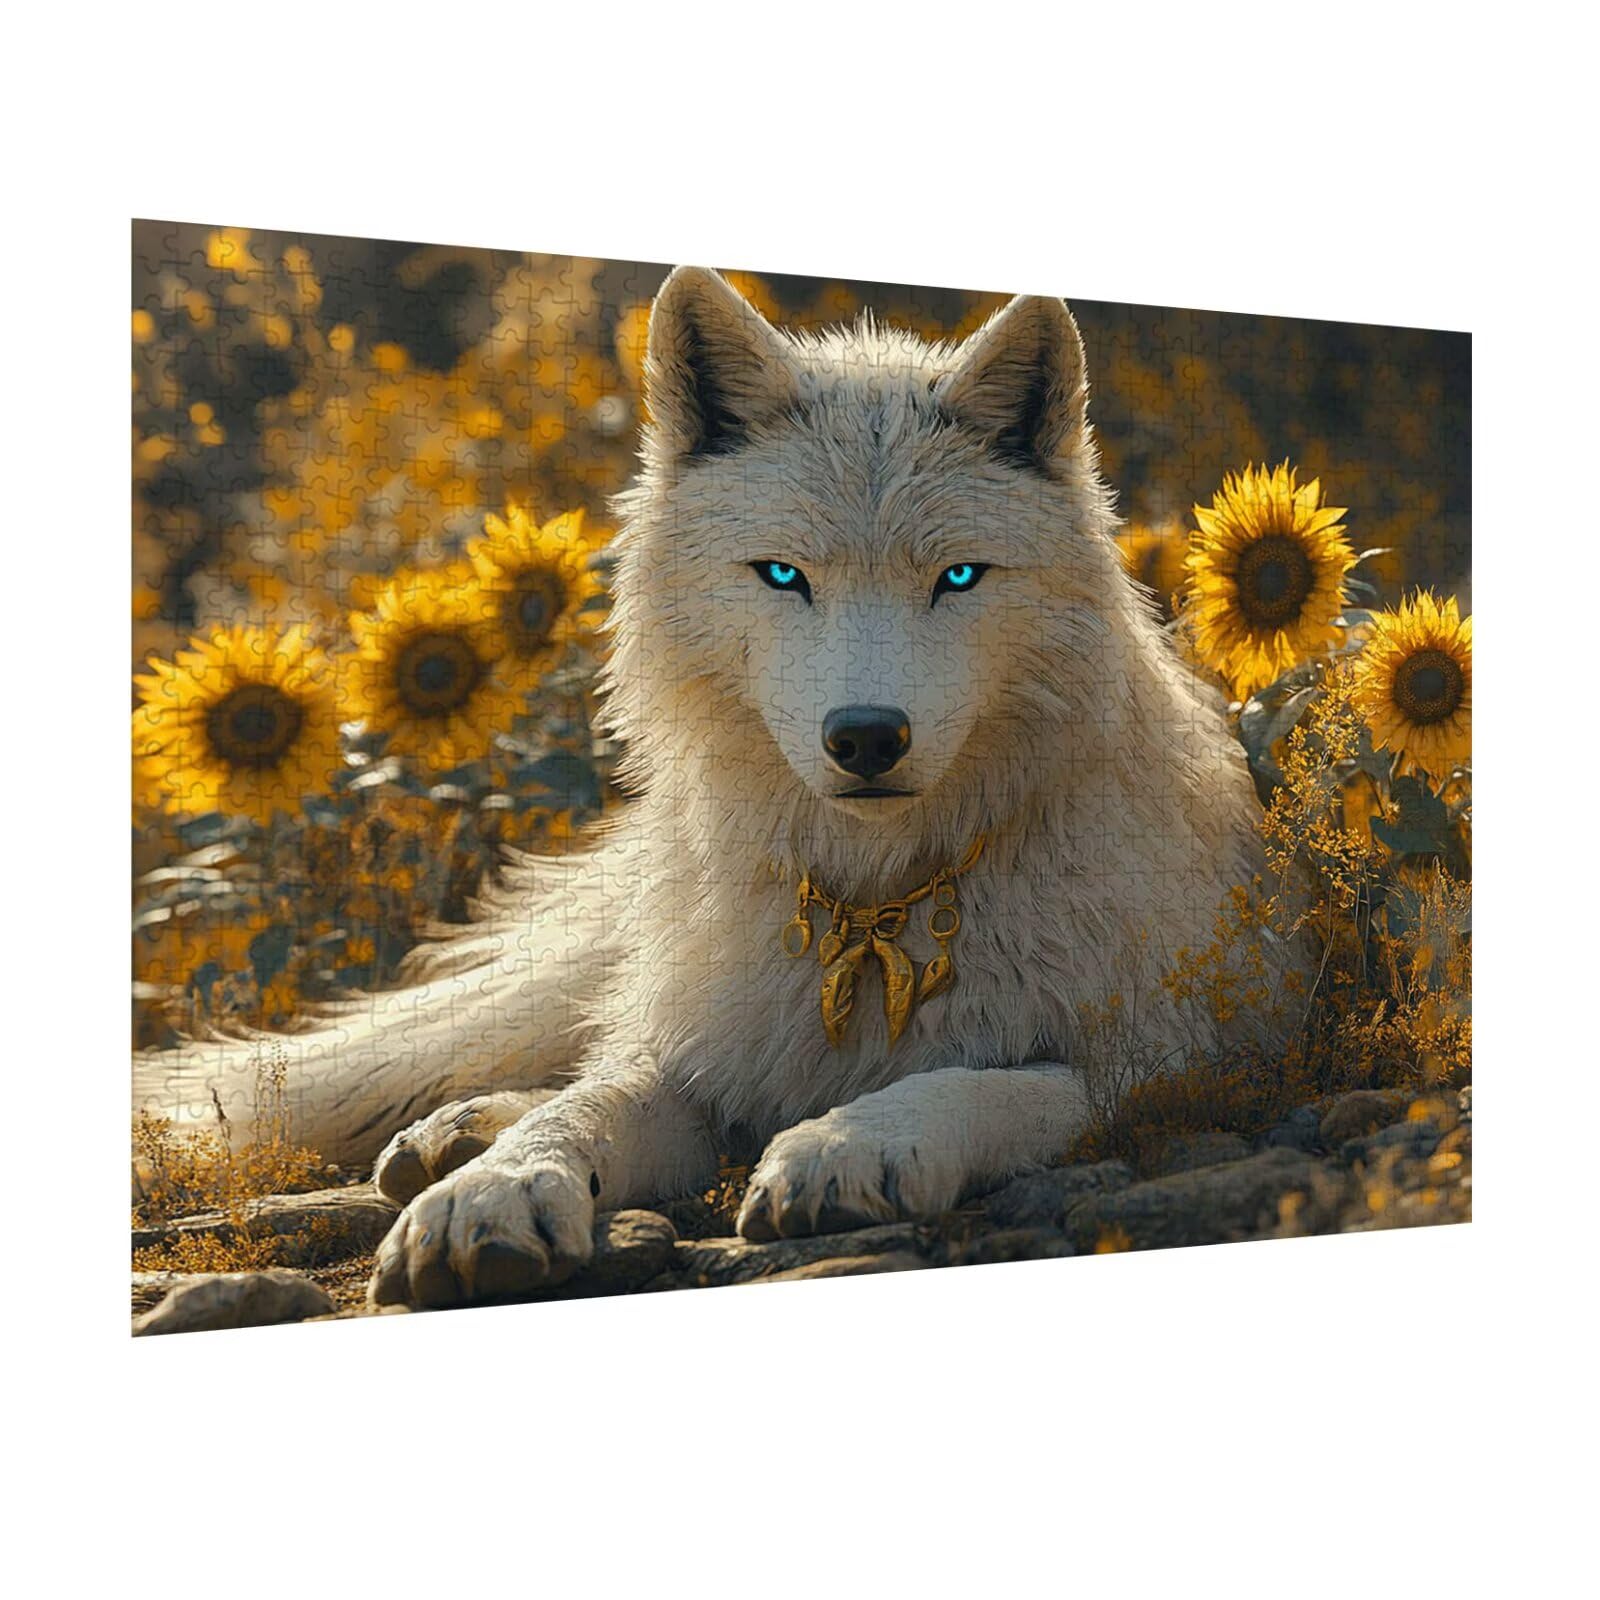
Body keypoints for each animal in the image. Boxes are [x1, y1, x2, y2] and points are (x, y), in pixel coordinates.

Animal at [133, 267, 1282, 1309]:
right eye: (783, 575)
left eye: (957, 578)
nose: (867, 738)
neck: (871, 906)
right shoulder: (691, 1068)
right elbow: (584, 1108)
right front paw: (491, 1194)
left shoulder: (1167, 1064)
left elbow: (982, 1084)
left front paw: (848, 1144)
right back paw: (452, 1138)